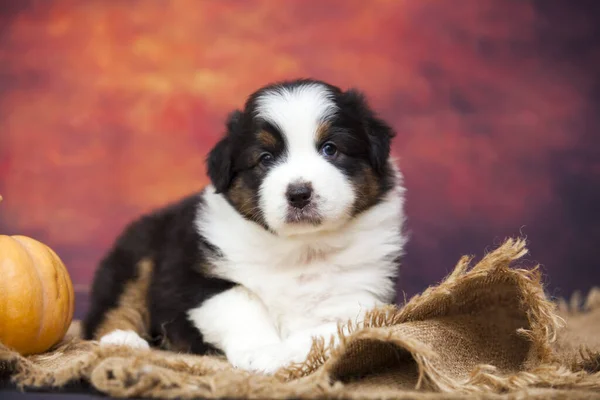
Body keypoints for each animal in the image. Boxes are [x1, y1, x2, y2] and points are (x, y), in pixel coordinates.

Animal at [83, 79, 408, 376]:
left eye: (330, 149)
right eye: (265, 158)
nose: (299, 194)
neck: (301, 246)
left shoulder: (363, 294)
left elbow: (328, 329)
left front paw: (287, 353)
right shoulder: (197, 275)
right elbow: (242, 304)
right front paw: (263, 353)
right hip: (139, 254)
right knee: (115, 305)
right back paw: (122, 340)